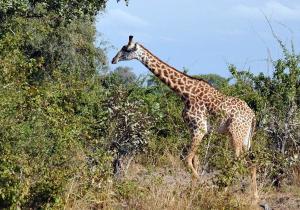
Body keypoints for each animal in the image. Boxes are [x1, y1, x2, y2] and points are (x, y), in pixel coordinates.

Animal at [112, 36, 258, 200]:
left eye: (126, 49)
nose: (113, 60)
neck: (185, 92)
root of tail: (252, 115)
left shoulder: (199, 129)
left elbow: (186, 160)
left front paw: (202, 187)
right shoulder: (194, 129)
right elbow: (195, 161)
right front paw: (194, 190)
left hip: (235, 134)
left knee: (236, 162)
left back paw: (225, 192)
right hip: (245, 138)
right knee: (251, 163)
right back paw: (255, 196)